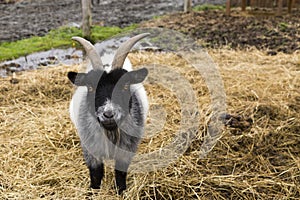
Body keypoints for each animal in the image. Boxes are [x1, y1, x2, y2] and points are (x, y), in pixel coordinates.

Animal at [67, 33, 149, 195]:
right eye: (90, 87)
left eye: (125, 86)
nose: (109, 114)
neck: (110, 132)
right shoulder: (91, 150)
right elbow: (96, 174)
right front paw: (93, 192)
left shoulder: (126, 151)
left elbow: (120, 174)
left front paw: (121, 192)